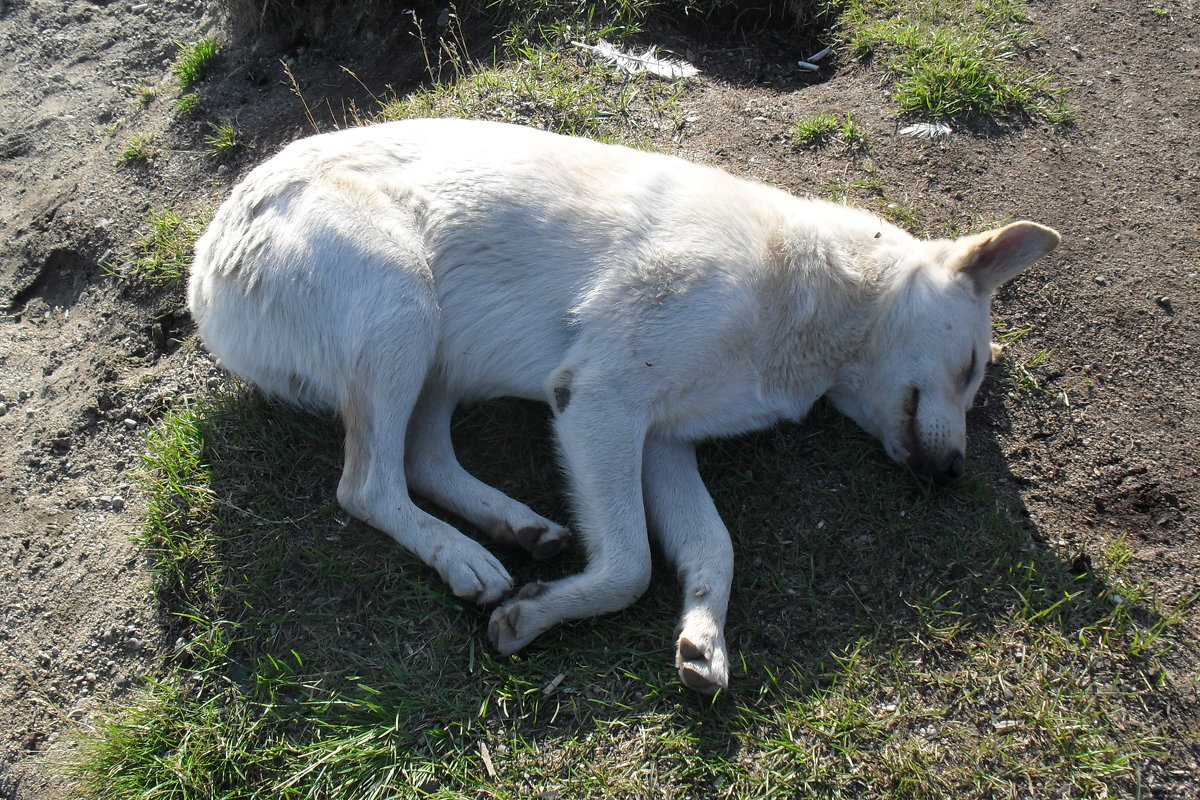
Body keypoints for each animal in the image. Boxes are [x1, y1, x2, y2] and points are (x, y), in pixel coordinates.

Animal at [189, 117, 1060, 690]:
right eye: (971, 367)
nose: (952, 474)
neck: (814, 291)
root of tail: (204, 262)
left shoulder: (660, 442)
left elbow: (713, 549)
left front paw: (703, 641)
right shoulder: (599, 403)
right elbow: (633, 566)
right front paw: (536, 618)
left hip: (438, 357)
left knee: (423, 459)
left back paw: (516, 526)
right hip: (404, 307)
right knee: (367, 484)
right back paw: (465, 557)